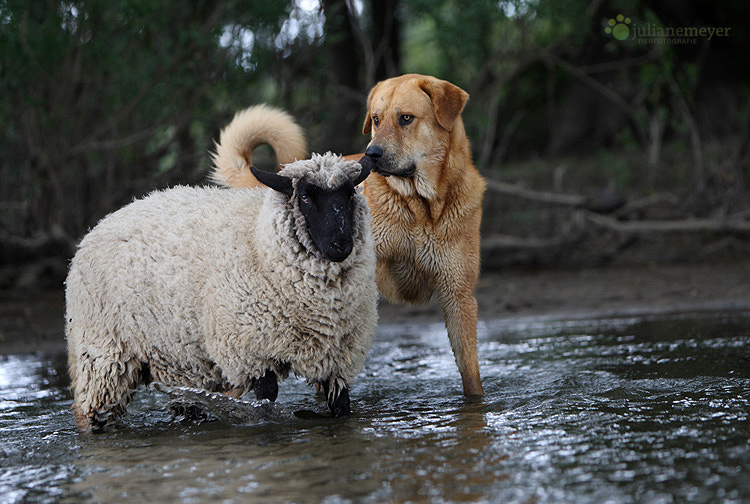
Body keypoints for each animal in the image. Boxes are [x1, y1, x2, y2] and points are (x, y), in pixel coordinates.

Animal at [66, 153, 376, 434]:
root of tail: (99, 226)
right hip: (102, 354)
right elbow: (266, 402)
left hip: (179, 363)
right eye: (306, 198)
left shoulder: (336, 360)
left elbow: (342, 408)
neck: (258, 240)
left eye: (350, 194)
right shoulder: (251, 352)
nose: (341, 244)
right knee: (90, 409)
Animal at [212, 76, 488, 398]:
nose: (372, 154)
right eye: (376, 119)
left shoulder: (459, 296)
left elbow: (471, 376)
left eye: (406, 118)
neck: (420, 207)